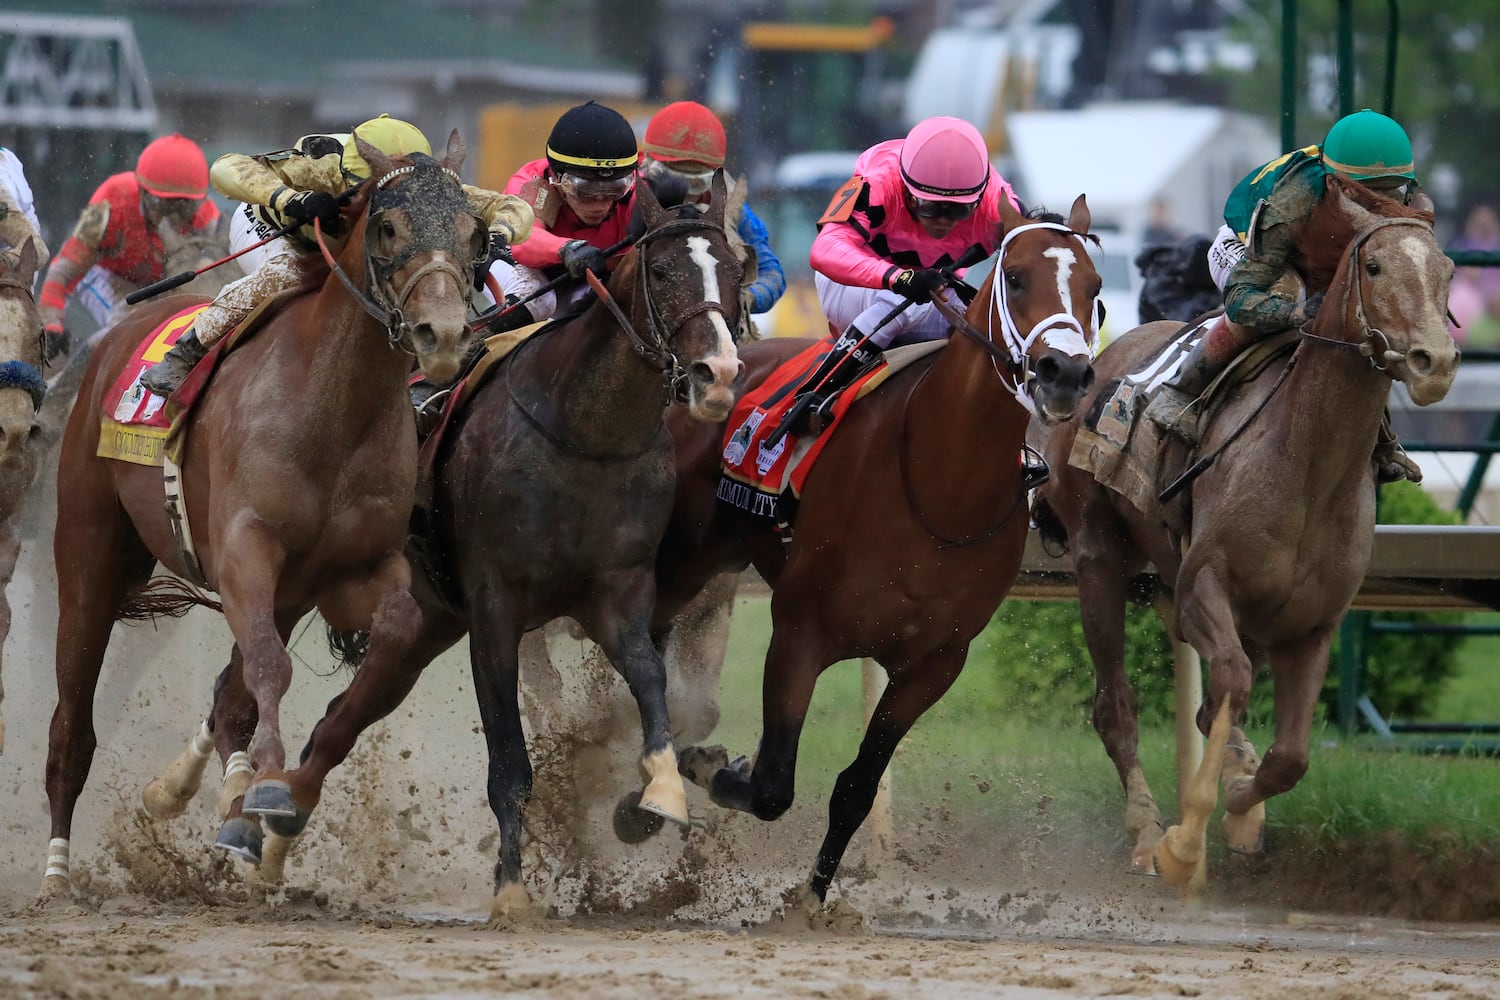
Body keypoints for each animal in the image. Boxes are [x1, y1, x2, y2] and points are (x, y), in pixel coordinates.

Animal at [41, 134, 486, 899]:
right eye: (388, 227)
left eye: (472, 234)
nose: (446, 334)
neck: (333, 409)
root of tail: (116, 335)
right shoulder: (247, 550)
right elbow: (270, 670)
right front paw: (268, 787)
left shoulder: (351, 571)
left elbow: (389, 629)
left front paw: (267, 799)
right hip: (89, 550)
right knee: (74, 720)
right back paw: (58, 870)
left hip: (282, 594)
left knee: (230, 697)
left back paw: (202, 796)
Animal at [651, 197, 1098, 917]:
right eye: (1017, 277)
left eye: (1095, 289)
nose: (1068, 373)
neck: (940, 484)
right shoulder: (800, 630)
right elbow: (772, 784)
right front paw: (713, 769)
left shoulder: (934, 663)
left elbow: (856, 788)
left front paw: (812, 902)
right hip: (680, 561)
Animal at [1032, 177, 1452, 881]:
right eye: (1373, 267)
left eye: (1447, 271)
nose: (1437, 362)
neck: (1308, 466)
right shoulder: (1206, 587)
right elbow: (1227, 682)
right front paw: (1185, 840)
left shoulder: (1311, 624)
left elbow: (1289, 757)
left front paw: (1240, 806)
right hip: (1098, 556)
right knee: (1115, 706)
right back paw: (1147, 830)